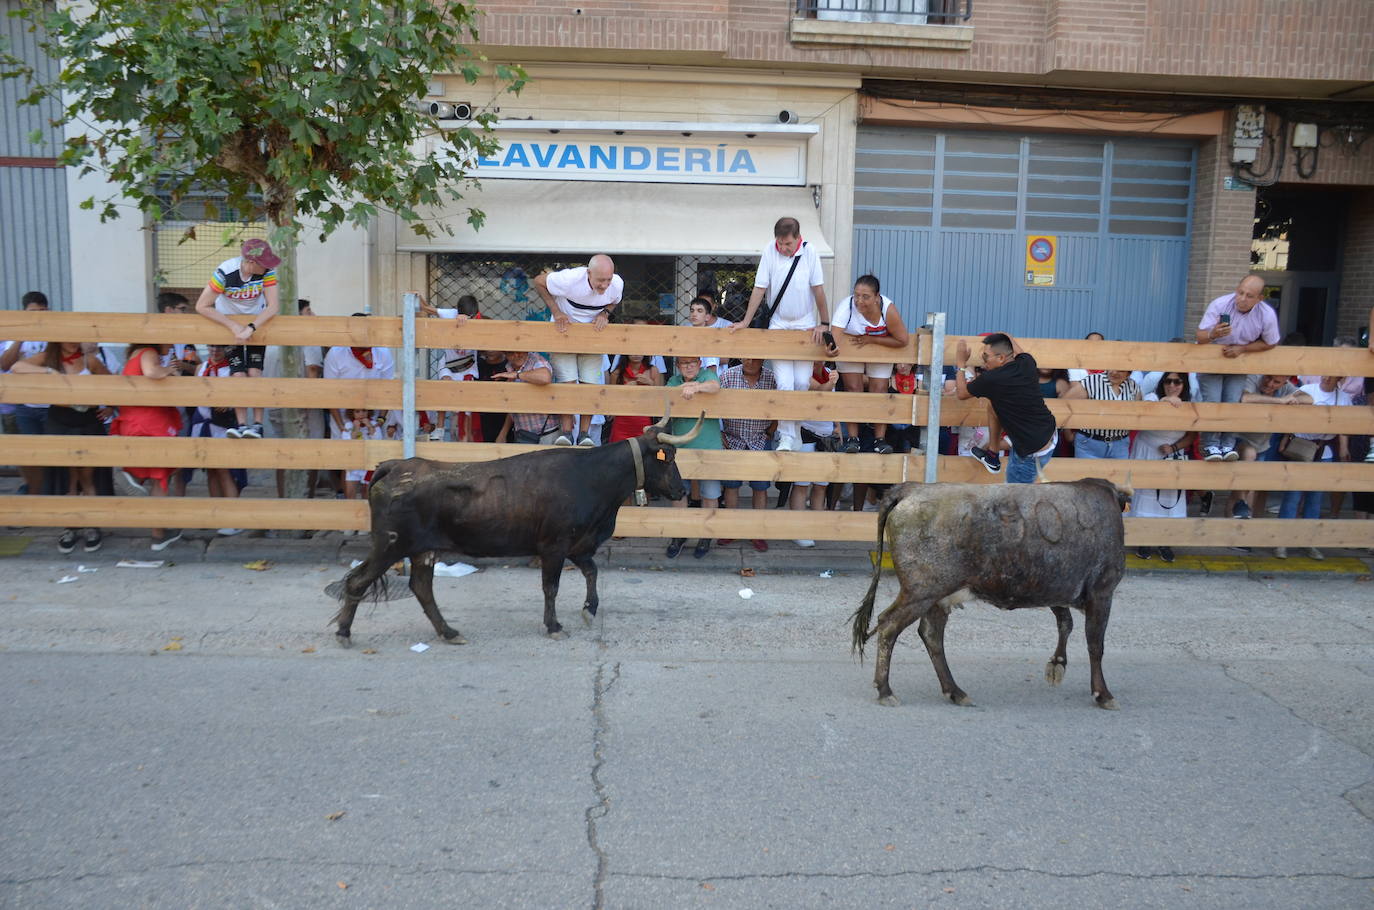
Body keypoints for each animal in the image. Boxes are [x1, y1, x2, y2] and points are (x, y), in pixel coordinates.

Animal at [327, 412, 703, 640]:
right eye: (668, 458)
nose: (680, 490)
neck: (592, 479)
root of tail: (397, 465)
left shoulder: (578, 545)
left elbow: (592, 572)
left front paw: (589, 609)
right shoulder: (554, 545)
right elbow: (551, 587)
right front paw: (554, 625)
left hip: (421, 549)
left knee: (421, 588)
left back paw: (449, 632)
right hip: (391, 544)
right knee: (359, 581)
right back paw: (344, 632)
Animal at [851, 481, 1132, 709]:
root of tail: (911, 488)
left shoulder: (1054, 585)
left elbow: (1066, 623)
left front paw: (1057, 664)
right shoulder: (1102, 591)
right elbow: (1095, 644)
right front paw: (1103, 694)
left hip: (937, 596)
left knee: (931, 634)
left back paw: (955, 691)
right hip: (921, 592)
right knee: (889, 625)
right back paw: (886, 691)